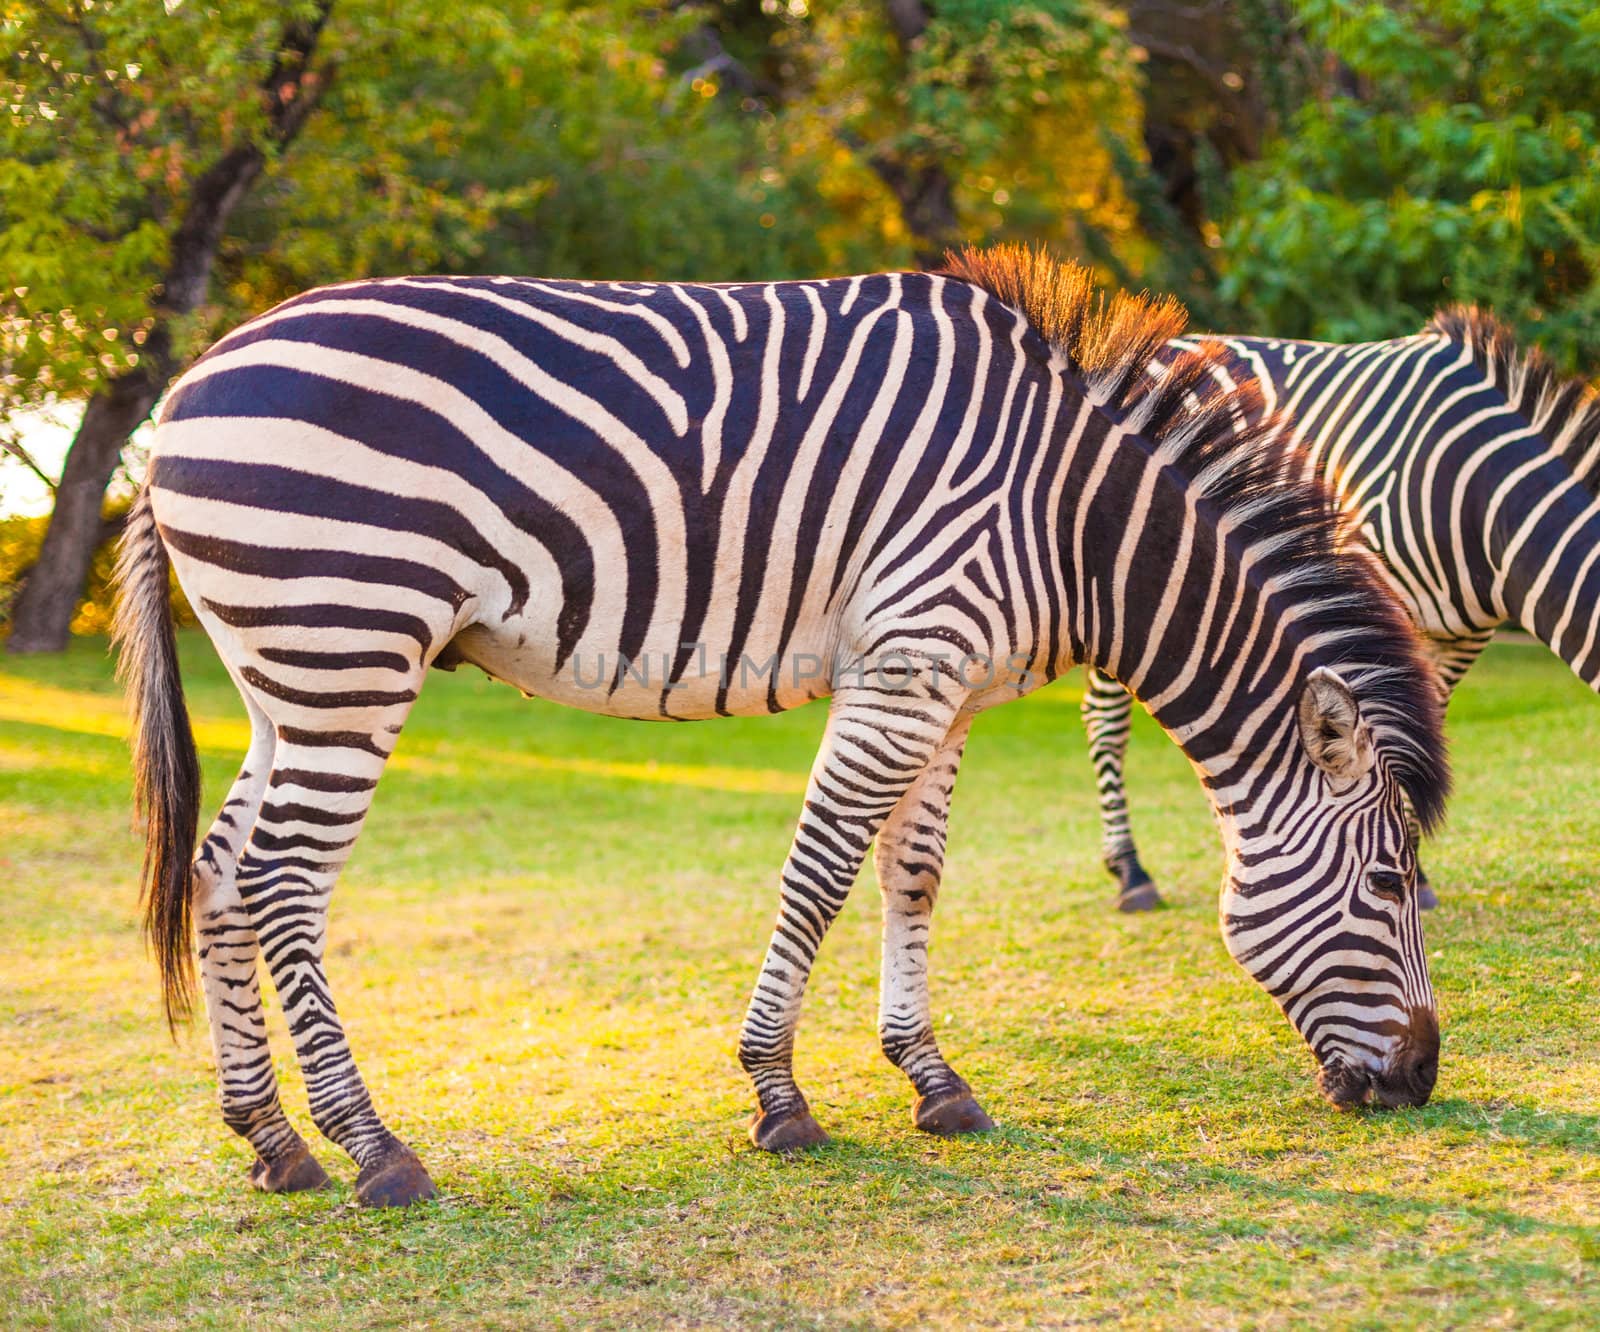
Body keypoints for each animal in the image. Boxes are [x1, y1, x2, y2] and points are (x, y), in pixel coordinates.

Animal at [116, 246, 1452, 1203]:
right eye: (1391, 885)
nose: (1423, 1081)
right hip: (350, 638)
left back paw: (274, 1143)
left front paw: (932, 1079)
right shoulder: (908, 656)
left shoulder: (947, 682)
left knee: (221, 869)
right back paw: (375, 1151)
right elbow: (819, 870)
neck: (1070, 513)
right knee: (284, 881)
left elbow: (912, 875)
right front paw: (778, 1096)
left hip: (289, 671)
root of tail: (180, 394)